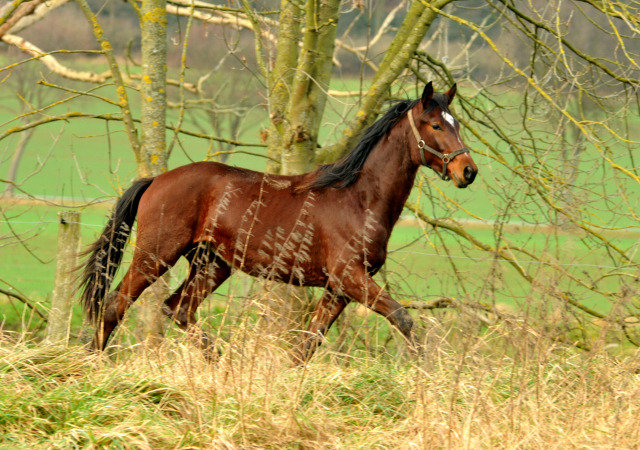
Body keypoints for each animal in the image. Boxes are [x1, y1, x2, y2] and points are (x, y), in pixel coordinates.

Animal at [77, 81, 478, 362]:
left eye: (456, 124)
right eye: (435, 125)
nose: (468, 171)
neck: (359, 199)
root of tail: (156, 180)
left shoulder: (338, 289)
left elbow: (308, 345)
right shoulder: (351, 278)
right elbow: (402, 318)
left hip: (212, 263)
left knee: (178, 309)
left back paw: (223, 365)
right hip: (156, 255)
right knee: (115, 305)